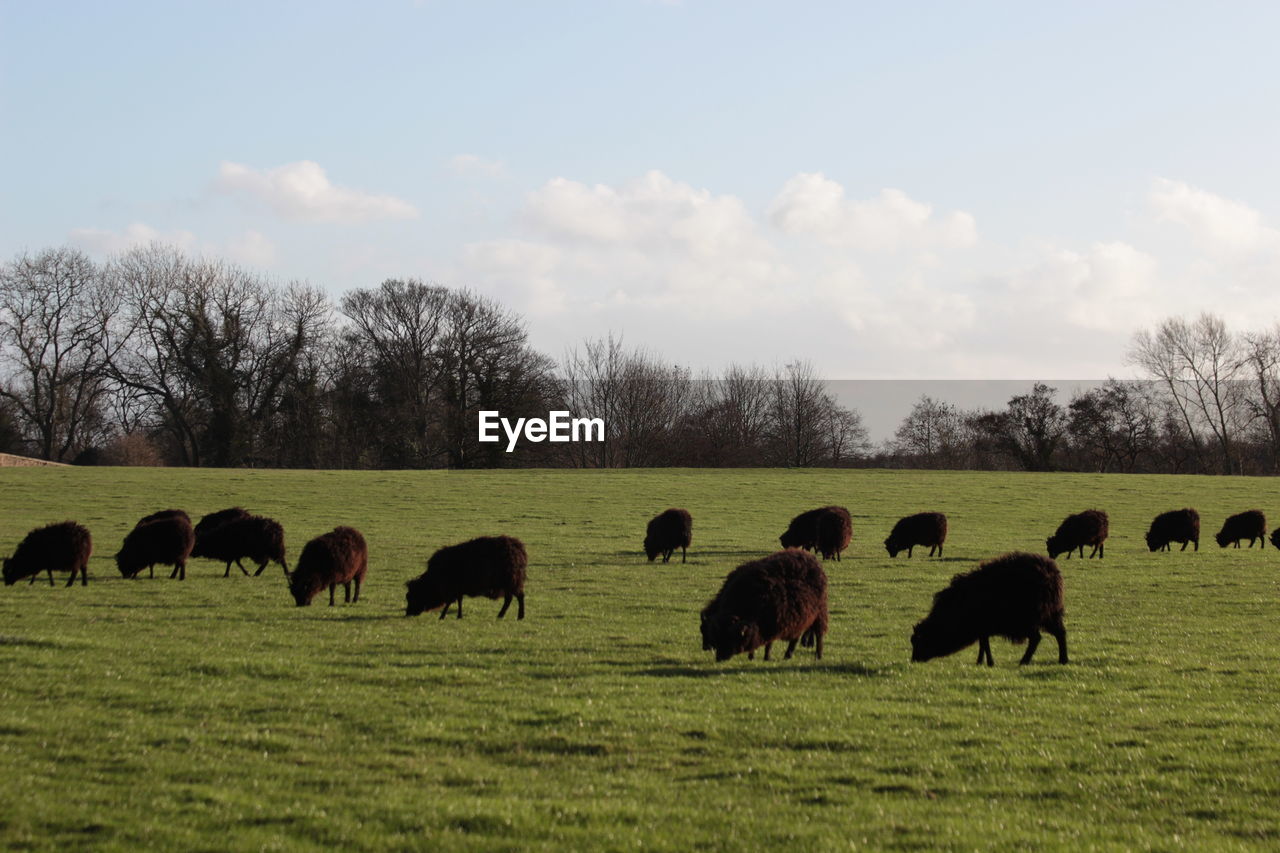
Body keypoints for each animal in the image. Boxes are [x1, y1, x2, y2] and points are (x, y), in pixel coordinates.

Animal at [701, 548, 829, 660]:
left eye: (730, 637)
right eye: (717, 635)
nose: (719, 658)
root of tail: (812, 558)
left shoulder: (773, 621)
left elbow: (768, 643)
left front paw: (765, 657)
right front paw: (752, 657)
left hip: (819, 612)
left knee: (819, 635)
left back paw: (818, 655)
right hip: (802, 615)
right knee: (795, 637)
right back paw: (788, 655)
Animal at [911, 550, 1070, 666]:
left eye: (920, 642)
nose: (914, 661)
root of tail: (1051, 573)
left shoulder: (982, 624)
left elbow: (984, 644)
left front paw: (987, 662)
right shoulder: (982, 627)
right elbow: (983, 643)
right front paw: (981, 662)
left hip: (1027, 618)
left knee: (1036, 638)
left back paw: (1024, 661)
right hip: (1052, 613)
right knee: (1060, 634)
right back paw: (1063, 660)